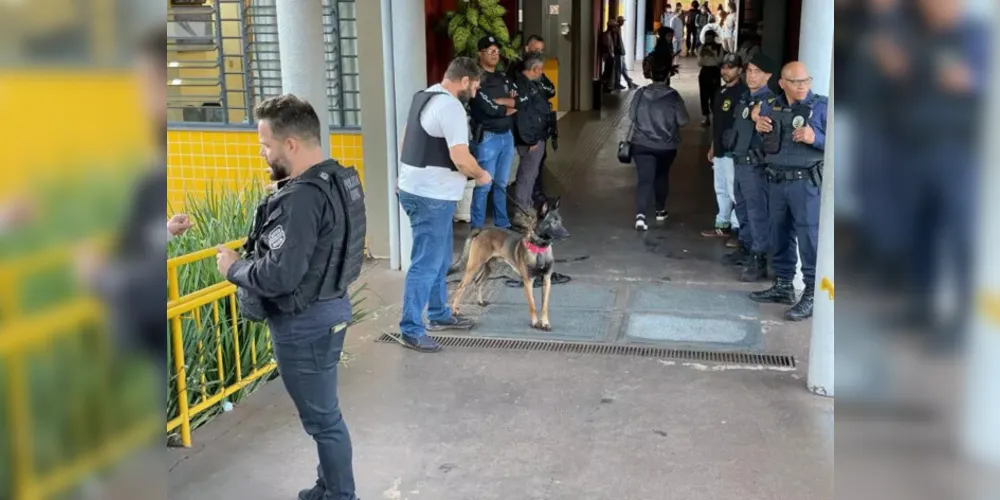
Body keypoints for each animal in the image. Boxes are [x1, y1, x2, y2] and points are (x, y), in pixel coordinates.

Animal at [448, 197, 568, 330]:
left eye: (561, 221)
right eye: (553, 222)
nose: (568, 234)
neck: (539, 249)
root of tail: (482, 230)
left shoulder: (547, 281)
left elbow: (544, 306)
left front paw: (545, 323)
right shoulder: (528, 281)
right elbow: (532, 305)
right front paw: (535, 323)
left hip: (489, 268)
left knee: (477, 282)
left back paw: (480, 301)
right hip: (474, 266)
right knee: (460, 286)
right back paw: (455, 310)